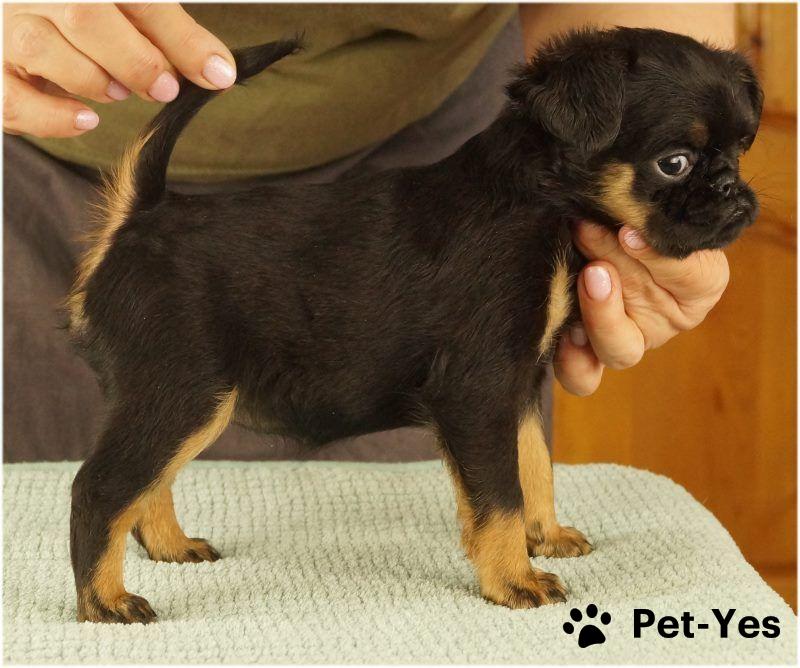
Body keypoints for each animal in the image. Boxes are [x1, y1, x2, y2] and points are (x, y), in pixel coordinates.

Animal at [66, 27, 762, 623]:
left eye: (737, 151)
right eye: (674, 163)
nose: (734, 191)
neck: (536, 197)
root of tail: (137, 219)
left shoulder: (516, 384)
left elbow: (533, 464)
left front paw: (543, 536)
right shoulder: (478, 386)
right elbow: (500, 491)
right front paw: (512, 578)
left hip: (173, 399)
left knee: (144, 483)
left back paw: (169, 547)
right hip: (185, 391)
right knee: (98, 489)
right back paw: (105, 601)